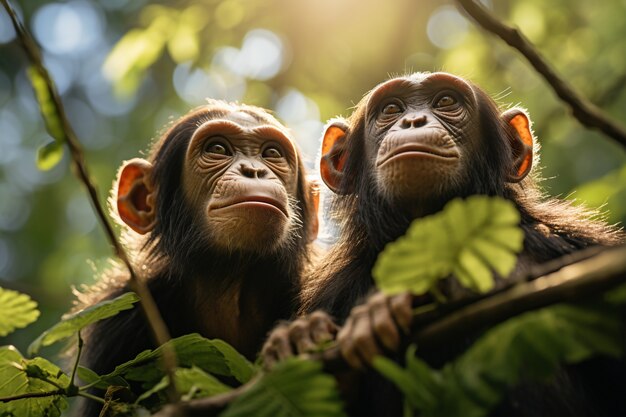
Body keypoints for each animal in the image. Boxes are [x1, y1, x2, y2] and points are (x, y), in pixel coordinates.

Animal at [262, 72, 624, 416]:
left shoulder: (579, 240)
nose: (414, 121)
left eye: (446, 101)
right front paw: (304, 337)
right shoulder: (327, 293)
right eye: (391, 109)